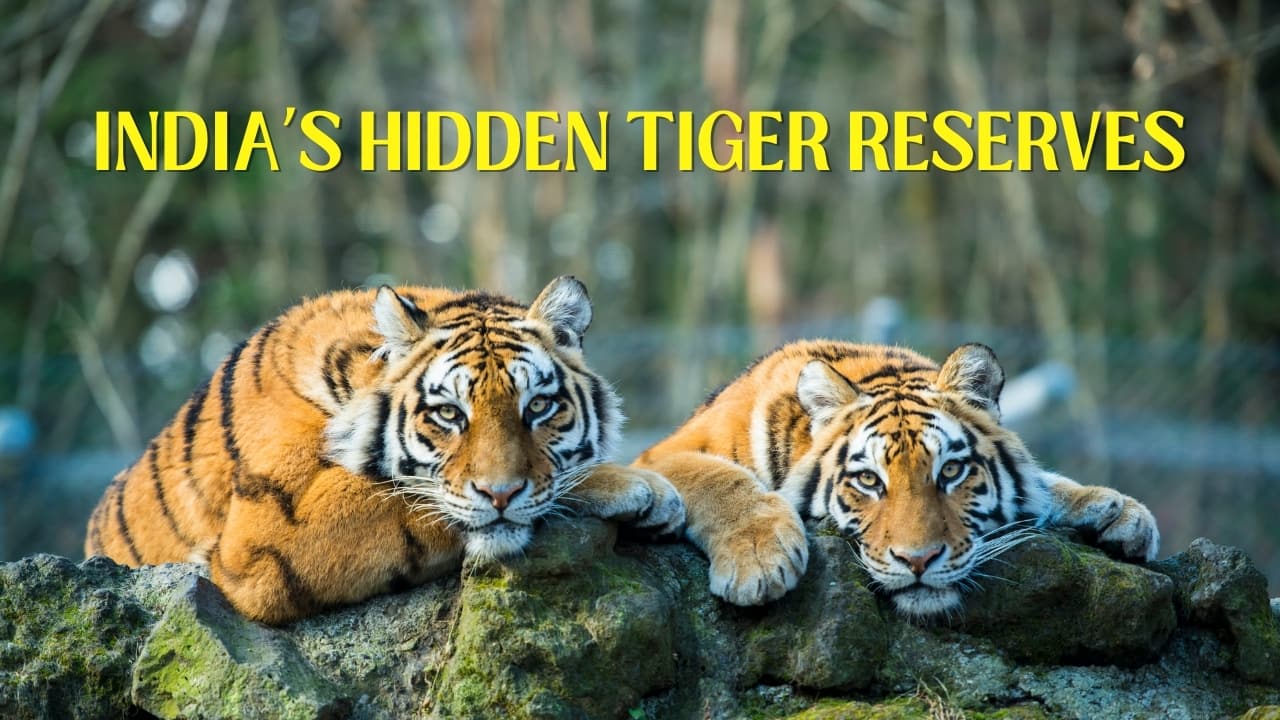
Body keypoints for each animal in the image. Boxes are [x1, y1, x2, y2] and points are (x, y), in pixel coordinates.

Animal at [85, 276, 685, 624]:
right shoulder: (264, 537)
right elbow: (409, 497)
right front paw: (638, 486)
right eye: (449, 414)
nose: (500, 495)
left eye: (538, 406)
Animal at [634, 341, 1159, 617]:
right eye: (868, 481)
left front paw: (1120, 512)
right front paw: (758, 560)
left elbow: (1045, 484)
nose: (918, 561)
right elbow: (720, 477)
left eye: (951, 471)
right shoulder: (659, 456)